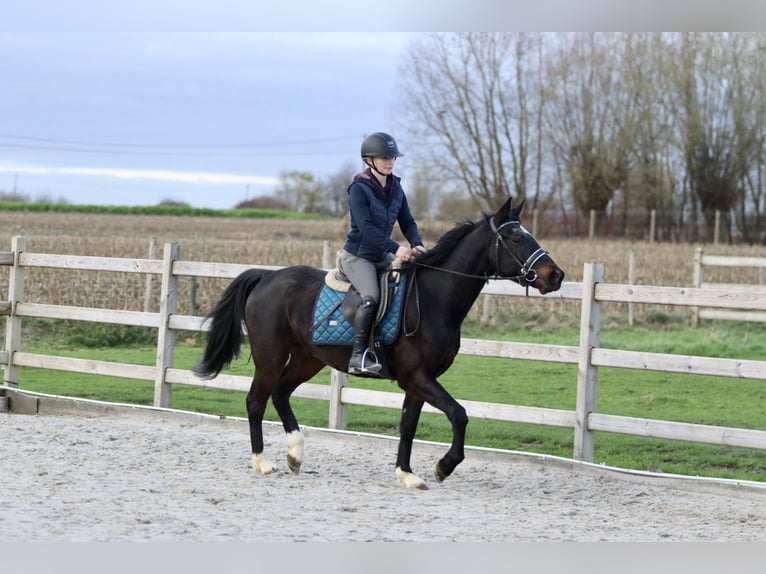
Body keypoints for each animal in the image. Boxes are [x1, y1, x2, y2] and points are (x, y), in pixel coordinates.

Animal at [193, 197, 565, 489]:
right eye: (515, 237)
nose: (555, 275)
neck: (434, 299)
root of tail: (267, 276)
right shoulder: (417, 377)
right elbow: (459, 415)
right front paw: (443, 466)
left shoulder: (418, 382)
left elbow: (408, 426)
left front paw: (407, 474)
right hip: (270, 357)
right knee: (256, 401)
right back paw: (263, 462)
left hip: (307, 359)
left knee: (281, 393)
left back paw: (295, 454)